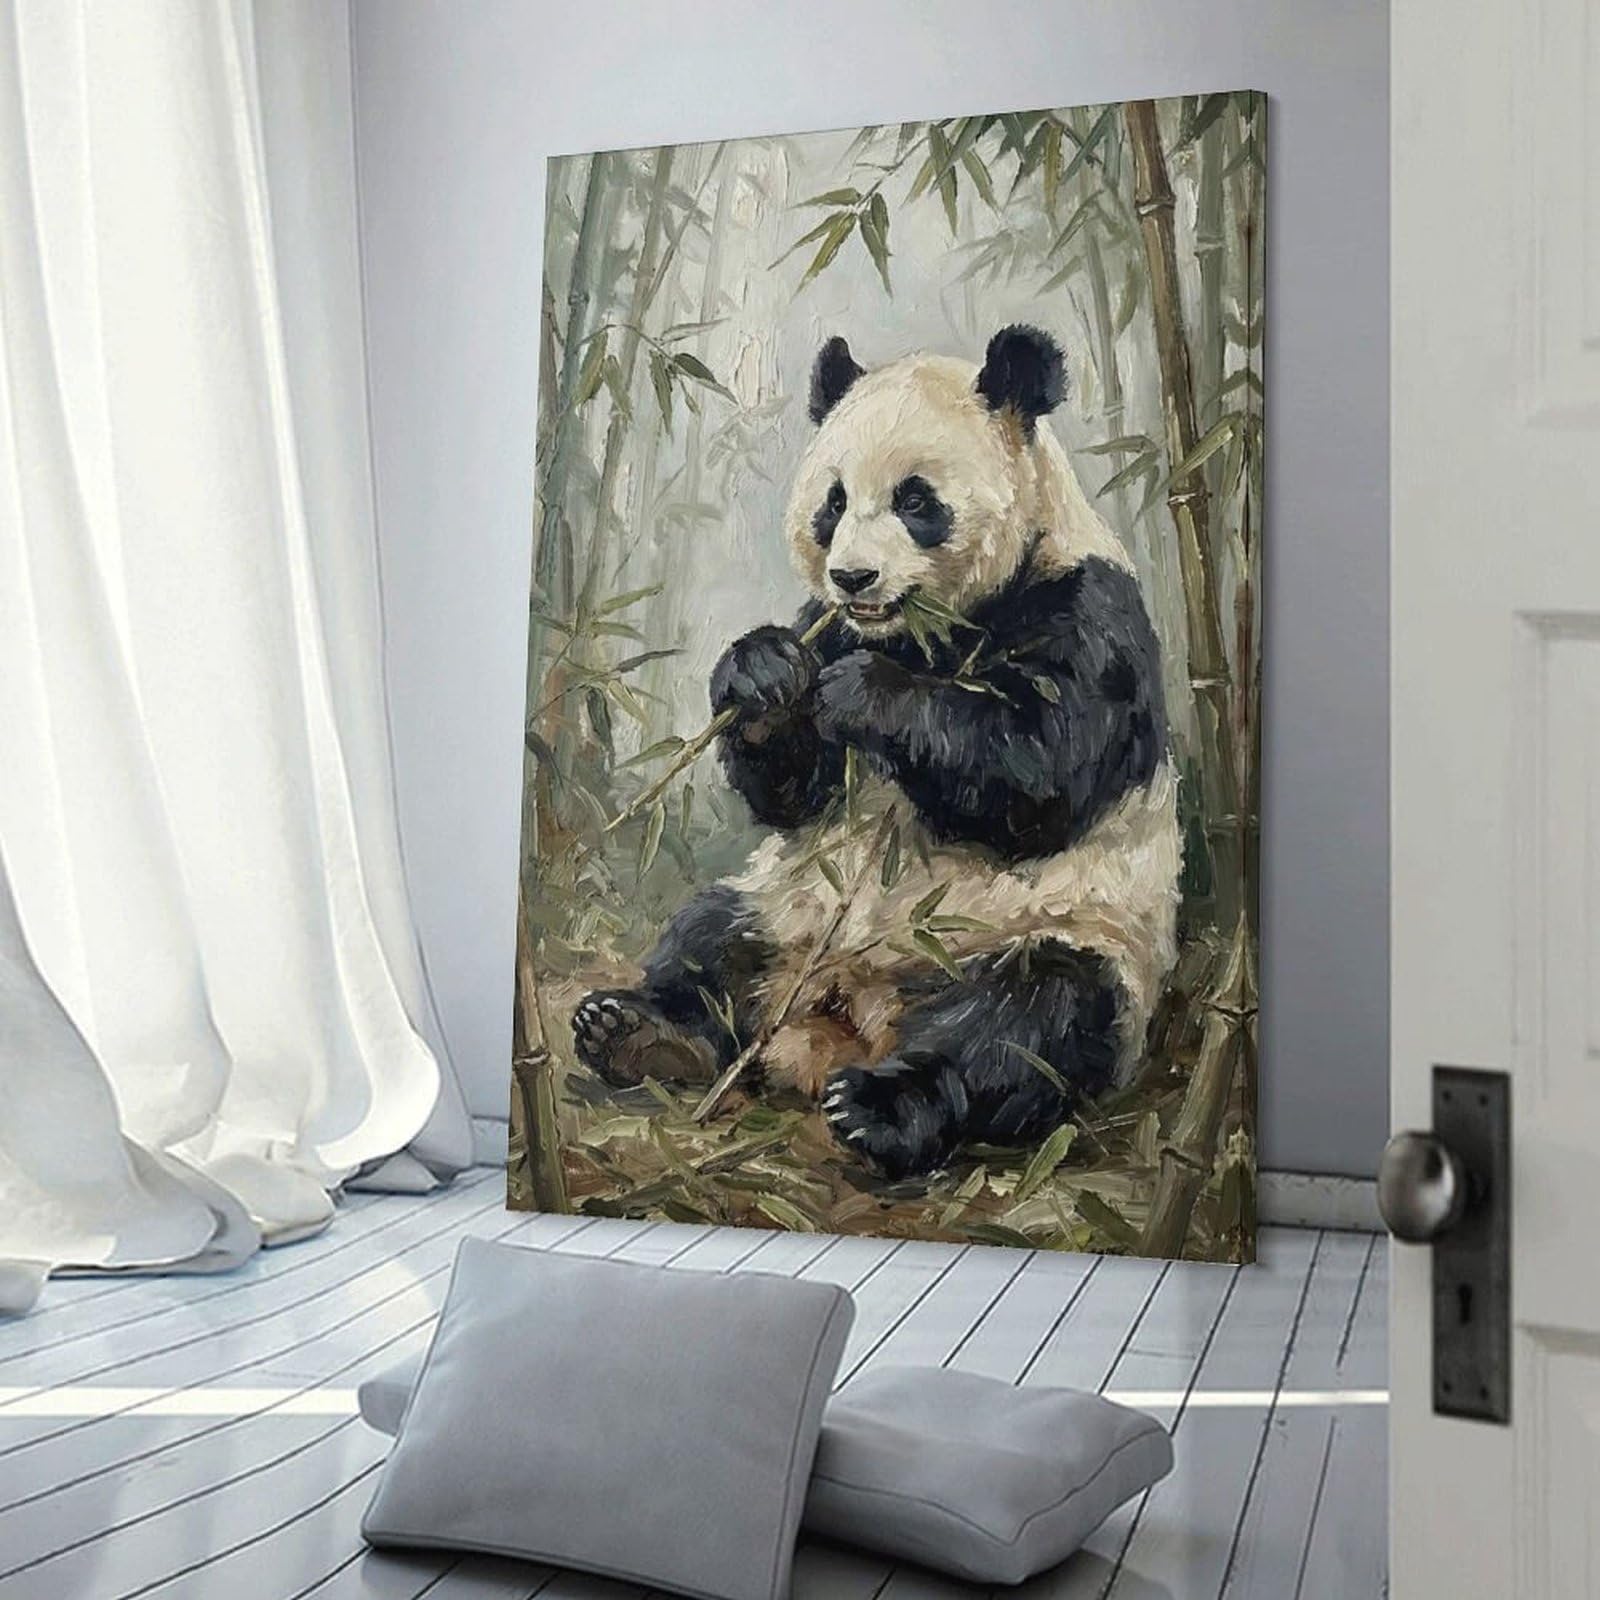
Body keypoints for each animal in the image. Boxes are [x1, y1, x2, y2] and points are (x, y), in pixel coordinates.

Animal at [573, 324, 1181, 1182]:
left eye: (915, 500)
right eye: (833, 503)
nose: (854, 575)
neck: (919, 632)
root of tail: (843, 1025)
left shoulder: (1088, 610)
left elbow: (1041, 774)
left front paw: (867, 692)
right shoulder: (823, 621)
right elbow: (794, 791)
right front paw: (765, 674)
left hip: (1068, 940)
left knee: (1029, 1022)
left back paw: (883, 1108)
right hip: (788, 906)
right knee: (711, 940)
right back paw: (639, 1033)